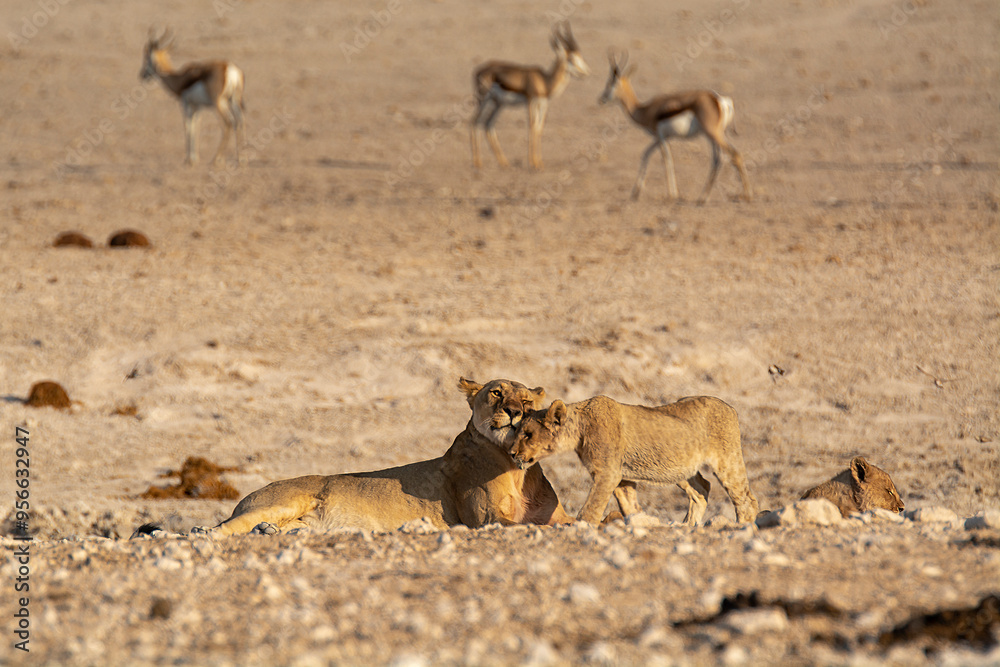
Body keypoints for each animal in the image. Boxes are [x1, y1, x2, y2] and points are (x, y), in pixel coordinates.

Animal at [188, 378, 573, 536]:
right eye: (496, 393)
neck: (517, 467)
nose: (514, 412)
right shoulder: (484, 519)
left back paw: (269, 532)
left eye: (527, 401)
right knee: (226, 526)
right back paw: (205, 531)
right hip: (286, 499)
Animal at [508, 395, 760, 525]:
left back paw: (744, 528)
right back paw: (688, 527)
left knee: (746, 499)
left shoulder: (608, 473)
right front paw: (639, 524)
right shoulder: (621, 476)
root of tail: (730, 407)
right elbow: (629, 505)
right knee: (702, 489)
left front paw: (582, 528)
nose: (511, 453)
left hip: (727, 460)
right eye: (518, 431)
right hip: (681, 469)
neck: (579, 429)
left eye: (527, 434)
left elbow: (591, 508)